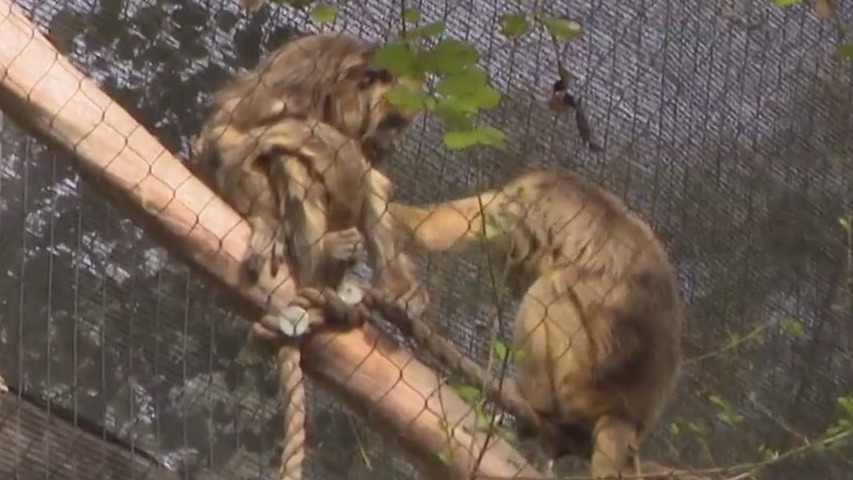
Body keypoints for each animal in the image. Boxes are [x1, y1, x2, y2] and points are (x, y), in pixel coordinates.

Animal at [190, 32, 428, 338]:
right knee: (288, 152)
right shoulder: (304, 72)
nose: (395, 144)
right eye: (392, 122)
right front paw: (267, 220)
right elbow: (228, 132)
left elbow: (371, 179)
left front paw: (400, 288)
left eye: (400, 126)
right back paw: (321, 264)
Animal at [387, 167, 683, 479]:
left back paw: (538, 406)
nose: (509, 281)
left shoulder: (525, 197)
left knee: (545, 292)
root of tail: (626, 414)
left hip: (584, 381)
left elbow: (452, 225)